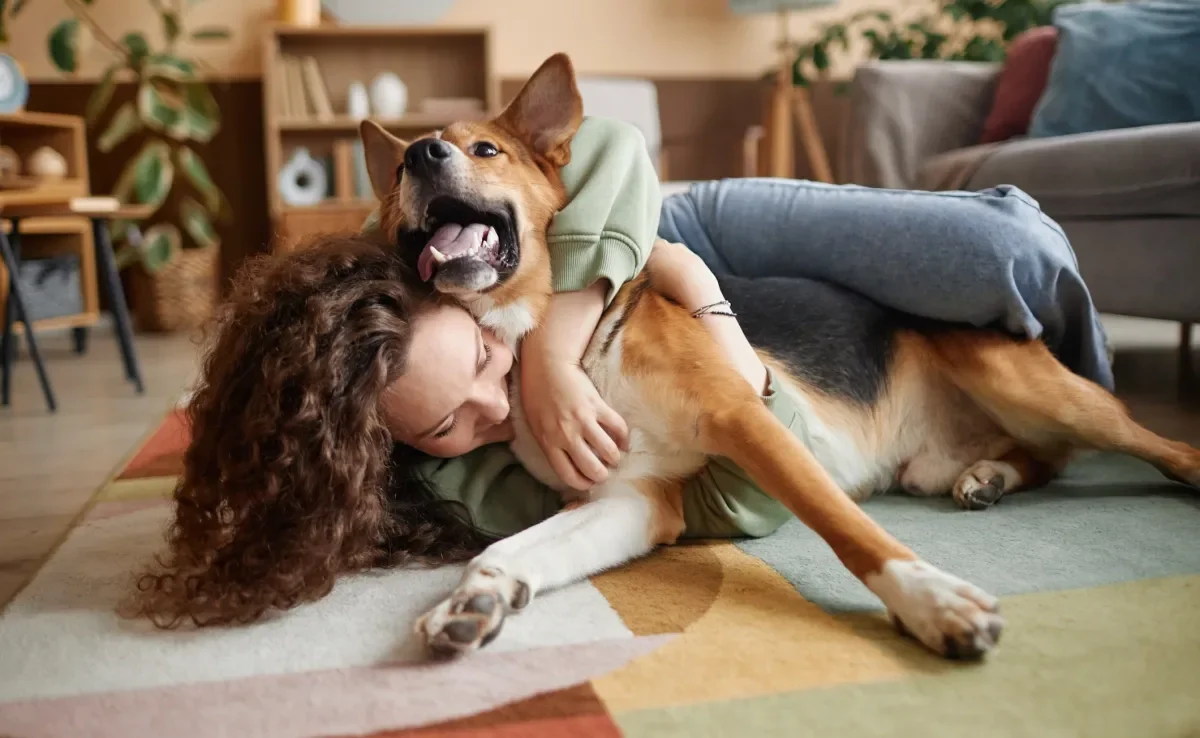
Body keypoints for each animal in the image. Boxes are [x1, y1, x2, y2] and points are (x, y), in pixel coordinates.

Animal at [357, 53, 1200, 662]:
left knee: (1154, 447)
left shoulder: (744, 418)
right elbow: (512, 548)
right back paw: (989, 476)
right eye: (399, 173)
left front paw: (930, 600)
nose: (422, 153)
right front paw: (477, 598)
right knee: (1041, 460)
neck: (555, 346)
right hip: (947, 454)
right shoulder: (630, 499)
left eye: (485, 149)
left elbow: (849, 531)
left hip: (1032, 386)